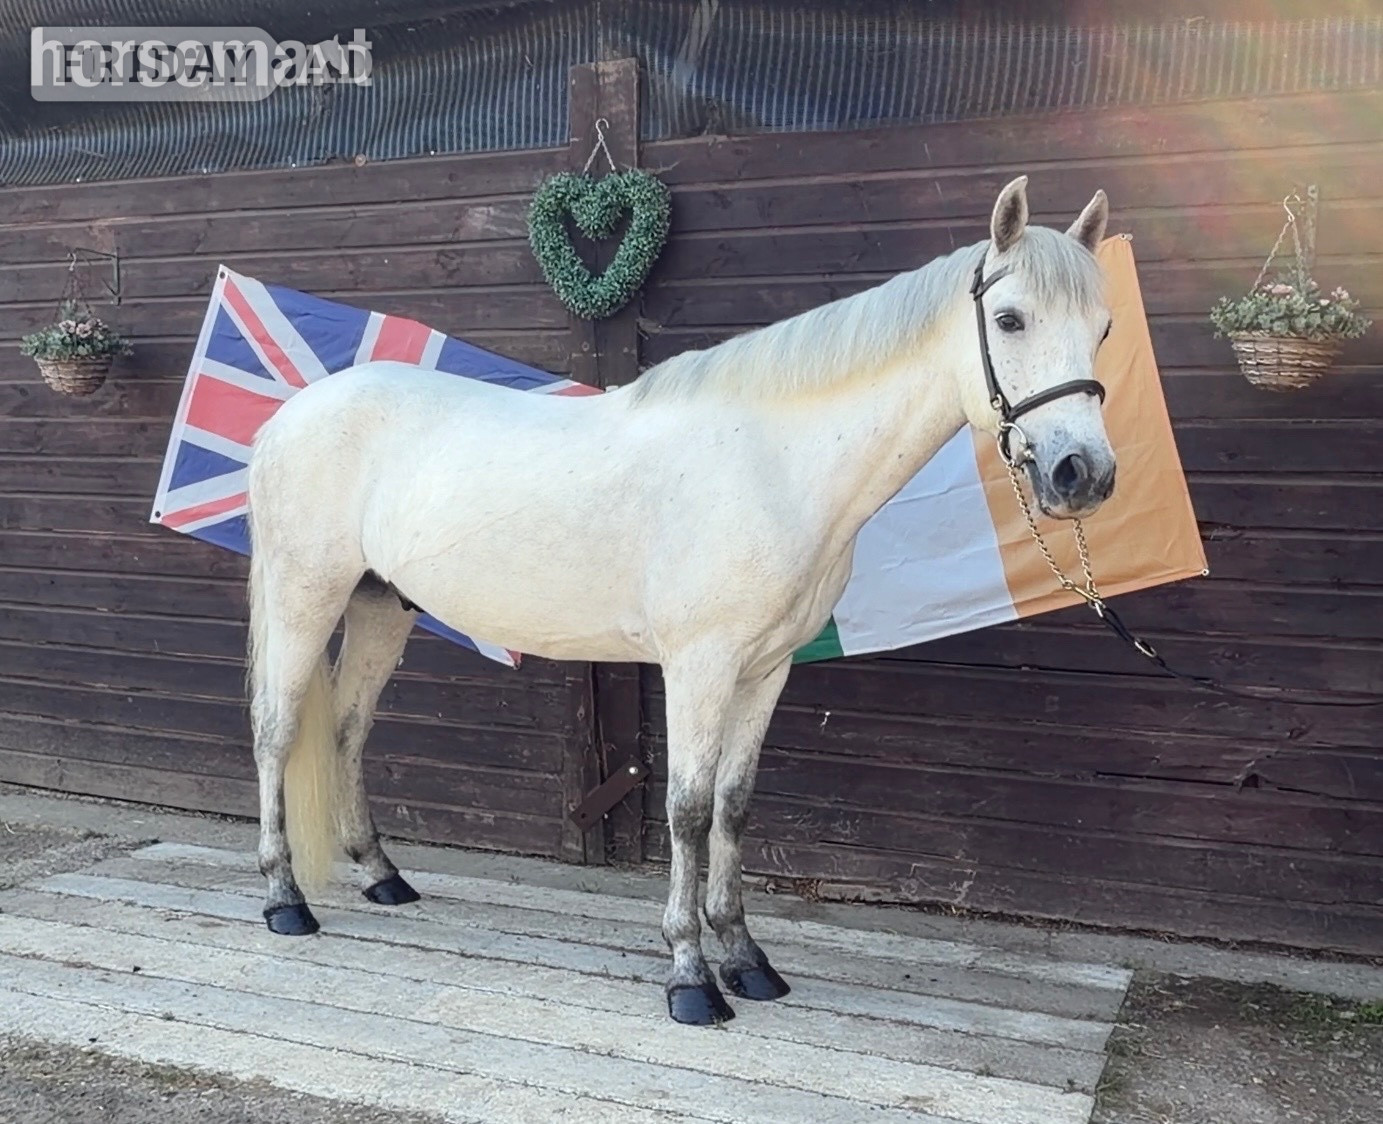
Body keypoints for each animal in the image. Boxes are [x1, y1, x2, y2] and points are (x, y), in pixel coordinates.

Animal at [243, 175, 1116, 1026]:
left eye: (1104, 328)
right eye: (1008, 319)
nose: (1082, 474)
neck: (773, 464)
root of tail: (292, 415)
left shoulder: (766, 668)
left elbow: (733, 804)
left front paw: (746, 959)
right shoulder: (699, 665)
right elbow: (688, 810)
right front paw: (691, 977)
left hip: (379, 606)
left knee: (349, 728)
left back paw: (380, 874)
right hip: (304, 594)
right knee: (277, 730)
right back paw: (285, 899)